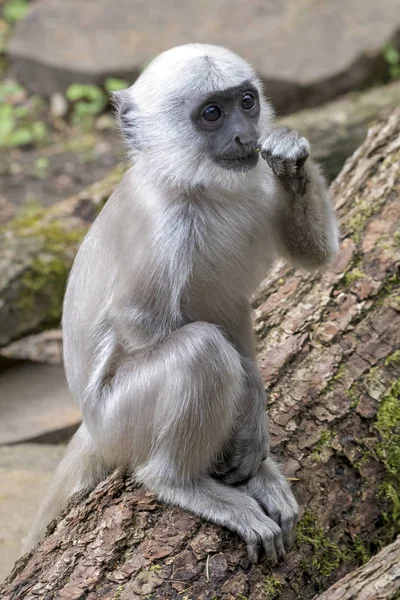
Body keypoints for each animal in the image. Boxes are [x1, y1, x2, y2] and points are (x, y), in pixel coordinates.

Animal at [24, 43, 338, 564]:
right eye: (212, 114)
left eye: (246, 102)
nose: (244, 134)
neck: (198, 186)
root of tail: (91, 426)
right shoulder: (161, 219)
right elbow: (138, 321)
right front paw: (248, 408)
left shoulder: (251, 175)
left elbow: (314, 256)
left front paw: (290, 158)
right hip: (120, 421)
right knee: (201, 350)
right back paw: (179, 481)